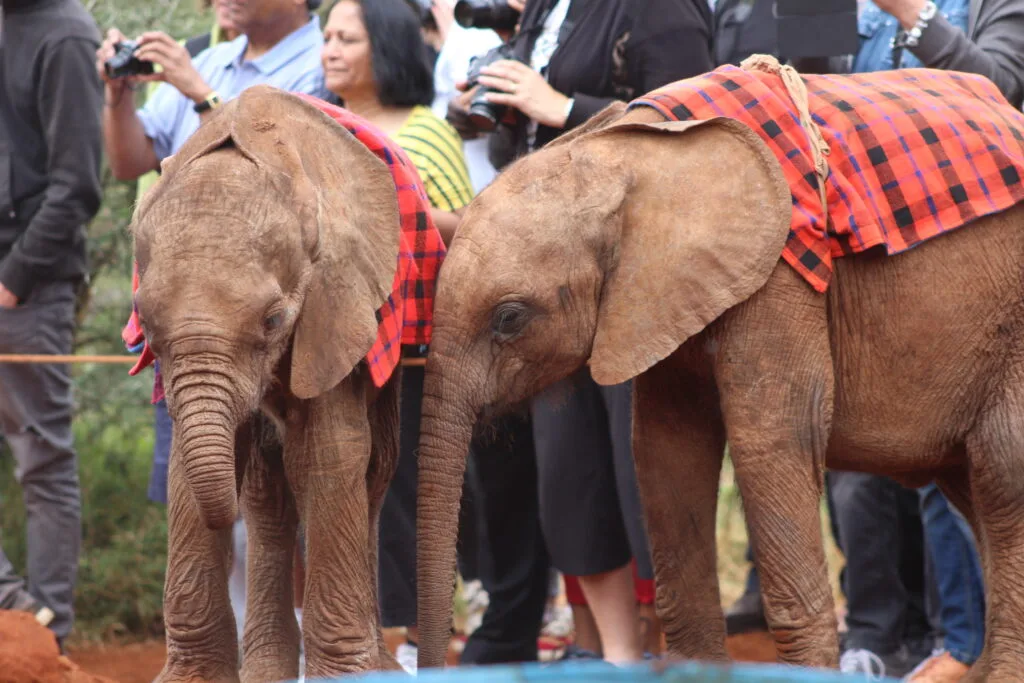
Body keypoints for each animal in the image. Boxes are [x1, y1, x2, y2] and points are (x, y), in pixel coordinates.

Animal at [129, 86, 421, 681]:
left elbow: (329, 453)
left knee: (373, 470)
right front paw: (193, 678)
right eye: (144, 325)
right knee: (267, 493)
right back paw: (267, 670)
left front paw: (350, 674)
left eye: (273, 321)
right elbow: (190, 467)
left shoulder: (336, 299)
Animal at [413, 70, 1024, 681]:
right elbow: (665, 448)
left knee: (1001, 470)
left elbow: (772, 438)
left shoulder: (776, 278)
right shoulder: (659, 296)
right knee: (973, 488)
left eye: (509, 318)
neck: (629, 154)